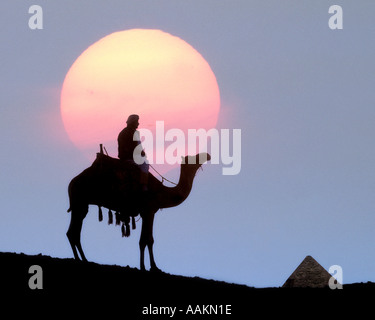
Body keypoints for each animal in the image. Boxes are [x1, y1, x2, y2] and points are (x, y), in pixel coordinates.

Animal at [65, 151, 210, 272]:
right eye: (192, 158)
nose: (207, 155)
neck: (162, 192)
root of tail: (72, 182)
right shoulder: (149, 211)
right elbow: (147, 240)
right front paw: (151, 267)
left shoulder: (147, 213)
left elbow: (145, 240)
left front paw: (146, 266)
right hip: (79, 200)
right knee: (73, 232)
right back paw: (81, 260)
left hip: (81, 204)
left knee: (73, 232)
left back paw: (83, 259)